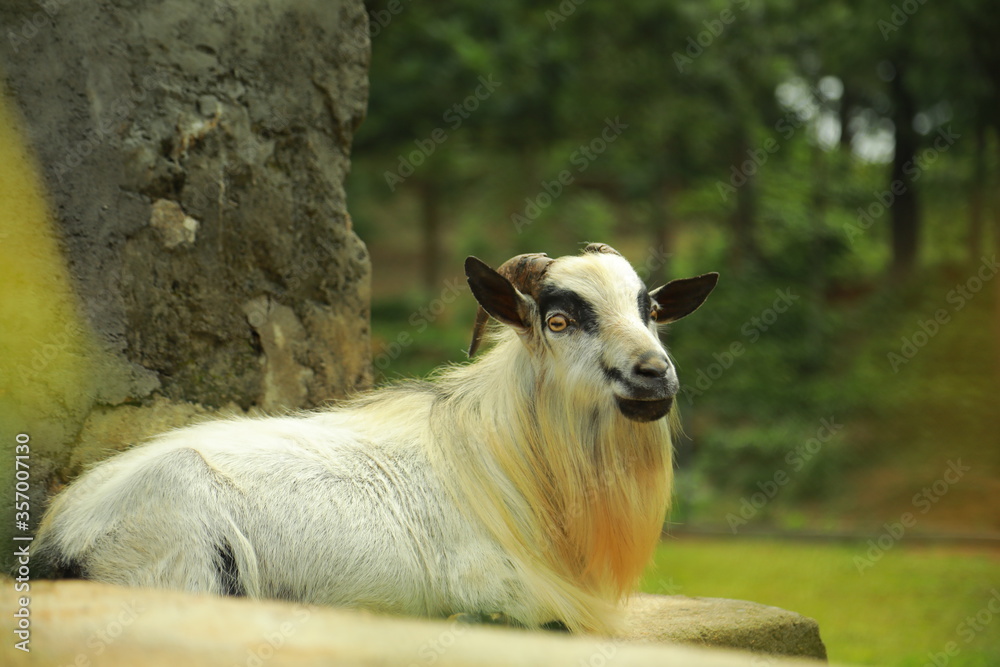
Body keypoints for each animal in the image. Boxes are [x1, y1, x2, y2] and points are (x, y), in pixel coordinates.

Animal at [33, 243, 718, 634]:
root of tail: (56, 541)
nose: (653, 375)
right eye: (558, 320)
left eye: (650, 312)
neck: (508, 462)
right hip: (184, 565)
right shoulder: (507, 596)